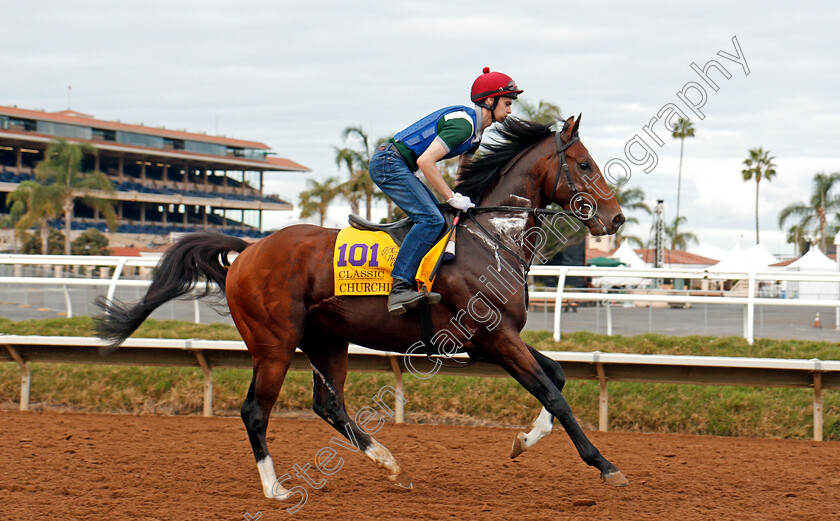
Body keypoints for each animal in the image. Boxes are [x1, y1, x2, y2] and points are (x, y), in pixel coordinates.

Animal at [95, 116, 628, 498]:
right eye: (584, 164)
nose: (616, 218)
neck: (493, 238)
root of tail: (248, 250)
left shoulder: (492, 340)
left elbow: (555, 377)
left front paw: (524, 441)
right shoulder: (494, 339)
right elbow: (554, 394)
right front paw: (605, 465)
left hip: (326, 340)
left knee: (329, 404)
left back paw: (390, 465)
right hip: (275, 344)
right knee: (254, 411)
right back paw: (277, 489)